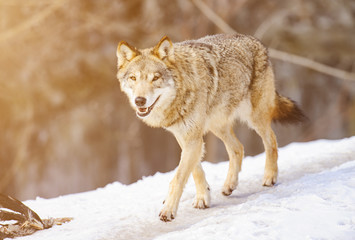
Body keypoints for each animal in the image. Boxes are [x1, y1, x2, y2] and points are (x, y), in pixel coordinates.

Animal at [115, 33, 304, 221]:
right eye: (133, 78)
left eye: (155, 78)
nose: (139, 101)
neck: (184, 87)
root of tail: (255, 40)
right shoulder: (185, 137)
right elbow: (195, 171)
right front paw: (203, 198)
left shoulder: (193, 138)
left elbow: (178, 178)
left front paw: (168, 210)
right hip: (218, 125)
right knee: (238, 148)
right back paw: (229, 185)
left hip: (255, 118)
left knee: (271, 141)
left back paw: (270, 177)